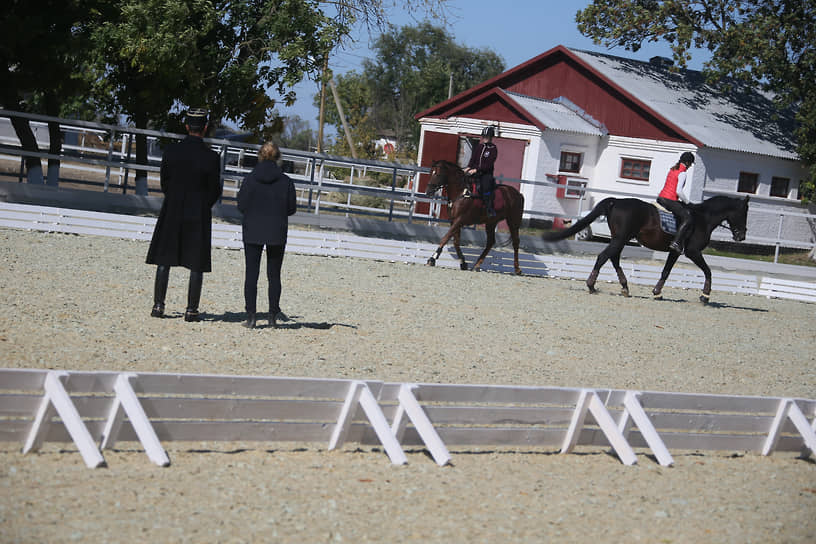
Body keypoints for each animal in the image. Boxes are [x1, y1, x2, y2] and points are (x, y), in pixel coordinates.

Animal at [544, 194, 748, 304]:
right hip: (620, 238)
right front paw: (705, 296)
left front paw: (657, 292)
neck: (702, 218)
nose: (742, 236)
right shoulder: (693, 252)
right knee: (604, 256)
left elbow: (666, 271)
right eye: (744, 212)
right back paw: (592, 285)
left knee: (613, 258)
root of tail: (616, 201)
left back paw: (625, 288)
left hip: (620, 239)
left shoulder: (675, 251)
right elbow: (708, 271)